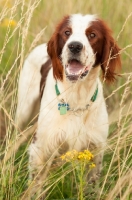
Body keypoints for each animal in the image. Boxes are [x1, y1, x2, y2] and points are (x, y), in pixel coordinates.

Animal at [15, 14, 120, 198]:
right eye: (67, 32)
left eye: (92, 34)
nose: (75, 46)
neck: (76, 97)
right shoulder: (40, 147)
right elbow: (35, 185)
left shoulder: (95, 148)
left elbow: (91, 185)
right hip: (23, 110)